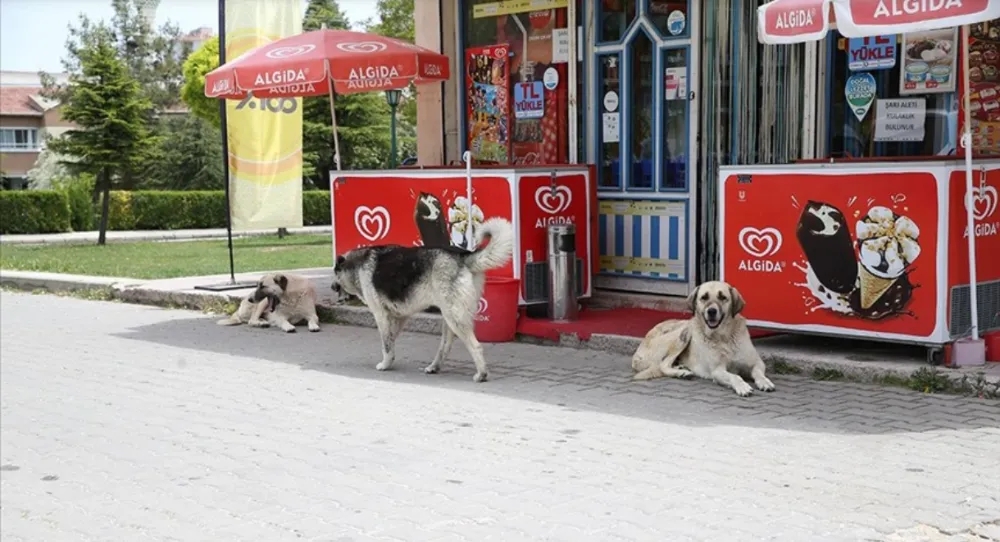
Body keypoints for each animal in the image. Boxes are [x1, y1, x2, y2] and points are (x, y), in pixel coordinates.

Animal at [332, 219, 516, 384]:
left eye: (335, 273)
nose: (333, 287)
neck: (356, 265)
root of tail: (463, 255)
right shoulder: (400, 316)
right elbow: (390, 340)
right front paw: (390, 360)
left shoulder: (381, 315)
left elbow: (386, 343)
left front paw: (385, 364)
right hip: (449, 317)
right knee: (445, 346)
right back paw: (434, 367)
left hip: (454, 317)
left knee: (475, 346)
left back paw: (482, 375)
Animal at [632, 282, 772, 398]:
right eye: (704, 297)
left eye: (723, 297)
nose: (711, 311)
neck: (724, 337)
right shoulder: (717, 371)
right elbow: (735, 376)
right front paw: (742, 386)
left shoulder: (757, 363)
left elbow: (758, 373)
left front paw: (765, 382)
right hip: (685, 332)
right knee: (663, 364)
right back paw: (681, 373)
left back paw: (681, 367)